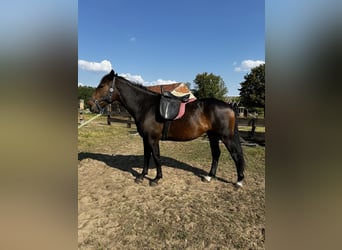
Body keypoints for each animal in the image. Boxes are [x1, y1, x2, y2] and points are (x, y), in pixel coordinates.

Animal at [88, 69, 243, 187]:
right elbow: (147, 156)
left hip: (226, 137)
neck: (146, 106)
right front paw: (142, 176)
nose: (90, 105)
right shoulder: (145, 139)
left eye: (101, 86)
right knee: (216, 154)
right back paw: (209, 176)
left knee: (235, 155)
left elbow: (156, 157)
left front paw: (156, 179)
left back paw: (239, 181)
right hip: (212, 135)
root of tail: (229, 106)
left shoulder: (152, 139)